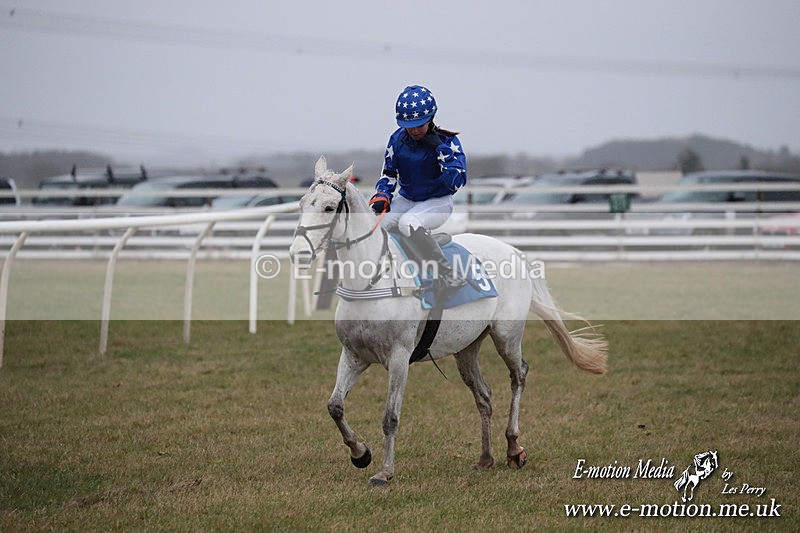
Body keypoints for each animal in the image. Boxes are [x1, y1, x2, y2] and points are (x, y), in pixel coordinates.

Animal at [289, 156, 608, 486]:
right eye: (301, 203)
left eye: (329, 207)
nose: (297, 254)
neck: (371, 281)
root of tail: (513, 250)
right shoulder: (353, 355)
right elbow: (335, 406)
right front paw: (360, 453)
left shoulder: (399, 358)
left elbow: (390, 417)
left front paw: (385, 472)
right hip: (466, 348)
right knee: (484, 396)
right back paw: (485, 457)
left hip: (506, 336)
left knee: (518, 375)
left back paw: (513, 447)